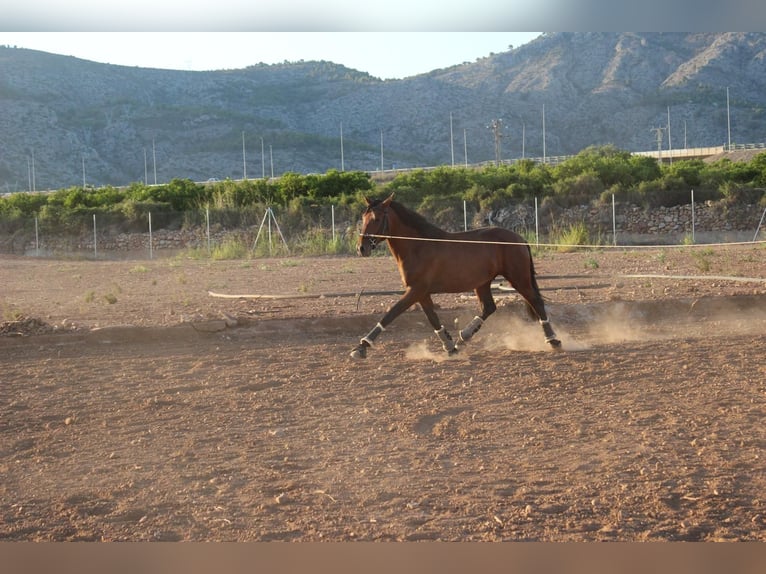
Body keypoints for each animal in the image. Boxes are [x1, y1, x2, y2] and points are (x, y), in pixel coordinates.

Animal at [352, 196, 560, 362]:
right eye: (363, 218)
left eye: (377, 218)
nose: (362, 248)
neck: (417, 247)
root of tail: (519, 239)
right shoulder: (421, 293)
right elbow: (433, 319)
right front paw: (450, 347)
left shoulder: (415, 290)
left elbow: (391, 314)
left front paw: (361, 347)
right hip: (482, 283)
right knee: (489, 307)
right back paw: (463, 338)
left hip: (518, 278)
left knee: (536, 302)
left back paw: (553, 341)